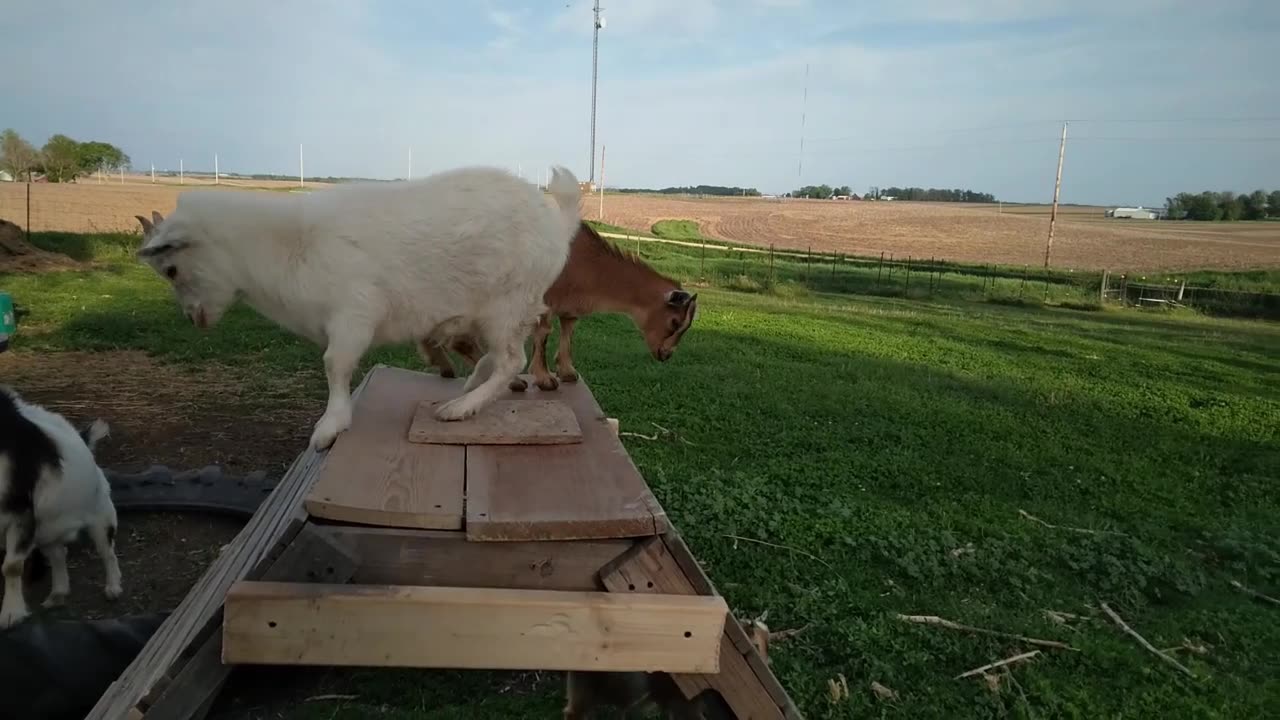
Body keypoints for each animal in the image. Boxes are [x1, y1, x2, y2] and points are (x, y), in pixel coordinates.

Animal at [0, 384, 122, 625]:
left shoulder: (21, 514)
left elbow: (11, 566)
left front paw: (11, 614)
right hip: (47, 530)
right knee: (58, 554)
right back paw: (57, 595)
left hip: (101, 514)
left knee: (107, 551)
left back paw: (113, 588)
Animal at [133, 167, 581, 448]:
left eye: (171, 269)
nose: (194, 318)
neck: (290, 245)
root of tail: (556, 224)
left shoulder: (354, 314)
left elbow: (335, 365)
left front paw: (329, 428)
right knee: (496, 358)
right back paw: (467, 389)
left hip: (506, 305)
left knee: (511, 360)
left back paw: (459, 409)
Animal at [419, 221, 696, 389]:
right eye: (674, 322)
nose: (666, 355)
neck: (588, 264)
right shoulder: (542, 299)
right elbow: (543, 334)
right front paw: (544, 378)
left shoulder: (570, 305)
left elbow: (568, 332)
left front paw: (567, 371)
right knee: (460, 339)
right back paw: (512, 381)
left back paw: (444, 365)